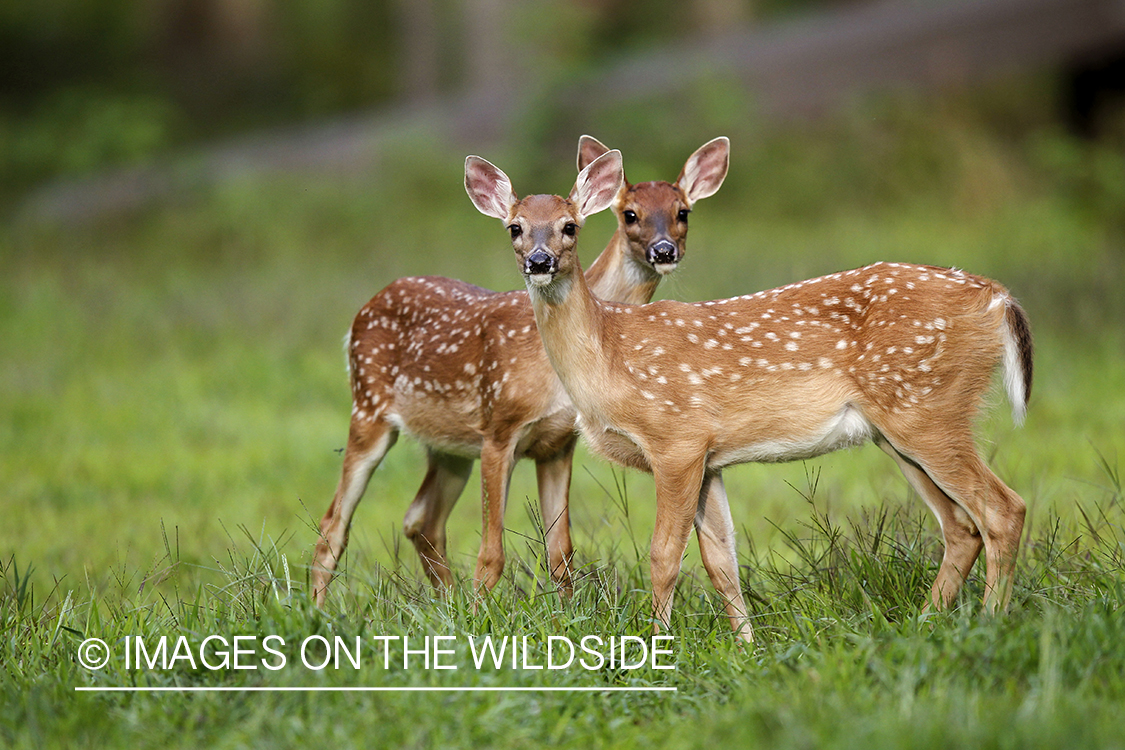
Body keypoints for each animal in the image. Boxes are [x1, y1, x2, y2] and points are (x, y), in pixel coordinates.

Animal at [310, 134, 729, 607]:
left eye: (682, 212)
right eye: (630, 214)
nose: (663, 250)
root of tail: (364, 309)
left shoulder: (558, 443)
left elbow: (560, 552)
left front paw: (562, 614)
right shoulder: (499, 427)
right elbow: (491, 553)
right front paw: (479, 615)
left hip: (449, 446)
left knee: (421, 520)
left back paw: (446, 602)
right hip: (368, 409)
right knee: (333, 525)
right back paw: (319, 610)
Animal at [468, 149, 1035, 643]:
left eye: (570, 227)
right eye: (515, 228)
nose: (540, 260)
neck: (612, 355)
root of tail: (997, 299)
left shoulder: (677, 439)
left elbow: (663, 555)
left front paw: (658, 646)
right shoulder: (710, 458)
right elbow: (722, 560)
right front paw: (746, 648)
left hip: (927, 408)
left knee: (1004, 510)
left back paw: (990, 623)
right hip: (901, 428)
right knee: (961, 527)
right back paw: (924, 624)